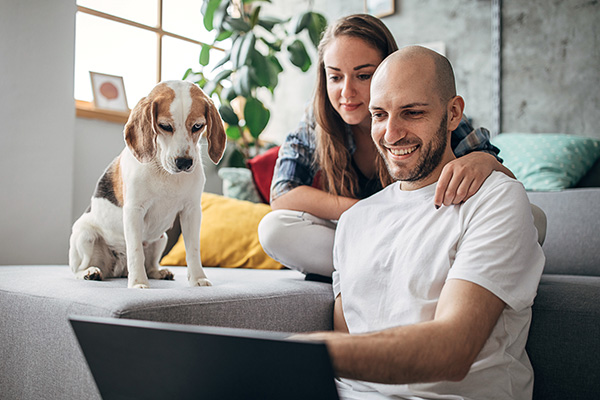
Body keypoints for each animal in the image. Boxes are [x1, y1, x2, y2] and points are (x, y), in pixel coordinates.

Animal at [68, 80, 227, 288]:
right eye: (165, 126)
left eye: (198, 126)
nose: (184, 163)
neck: (164, 171)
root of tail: (118, 269)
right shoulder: (134, 211)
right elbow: (136, 251)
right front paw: (137, 283)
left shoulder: (192, 211)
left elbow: (193, 250)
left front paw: (198, 278)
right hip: (85, 235)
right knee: (78, 269)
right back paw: (90, 272)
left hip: (161, 238)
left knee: (150, 266)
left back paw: (159, 272)